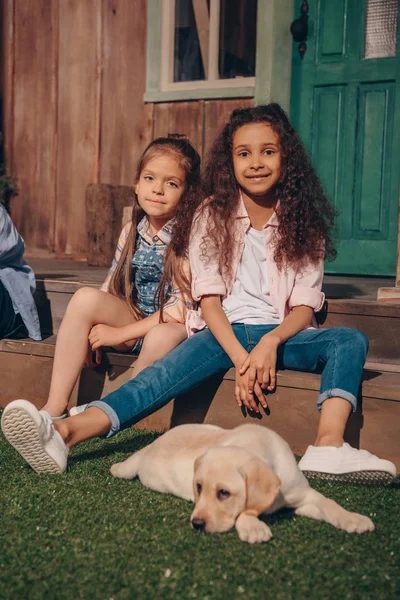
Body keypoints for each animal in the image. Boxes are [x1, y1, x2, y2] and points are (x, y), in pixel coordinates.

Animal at [110, 422, 376, 544]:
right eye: (198, 488)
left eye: (223, 493)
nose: (196, 524)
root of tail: (148, 448)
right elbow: (245, 511)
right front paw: (254, 527)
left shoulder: (303, 495)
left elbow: (329, 502)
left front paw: (353, 519)